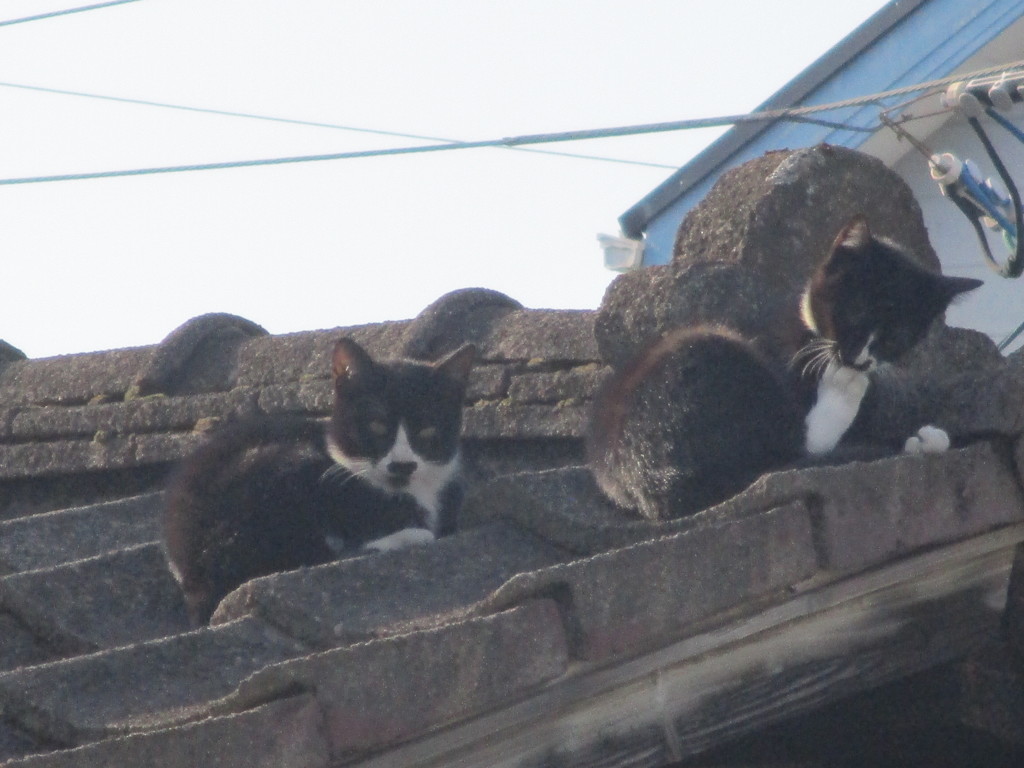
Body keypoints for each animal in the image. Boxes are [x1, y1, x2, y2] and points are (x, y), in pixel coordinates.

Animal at [589, 214, 978, 520]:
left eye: (898, 334)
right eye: (856, 312)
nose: (859, 359)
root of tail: (648, 484)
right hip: (710, 356)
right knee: (795, 446)